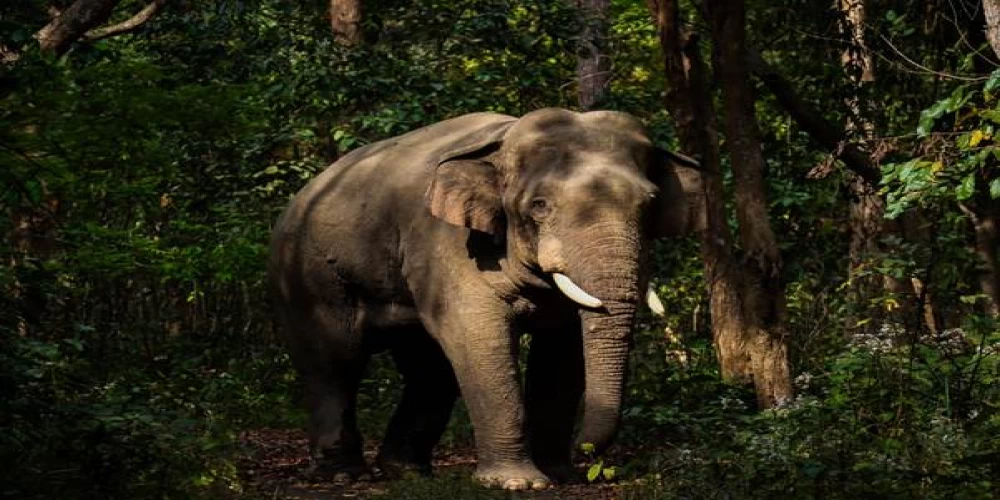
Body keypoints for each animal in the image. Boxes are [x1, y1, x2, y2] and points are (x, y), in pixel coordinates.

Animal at [267, 108, 705, 490]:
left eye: (649, 204)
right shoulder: (449, 244)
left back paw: (407, 472)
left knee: (429, 369)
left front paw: (560, 477)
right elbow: (480, 337)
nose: (587, 455)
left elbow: (562, 351)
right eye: (539, 206)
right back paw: (344, 475)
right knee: (335, 360)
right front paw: (518, 483)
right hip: (307, 275)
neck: (502, 140)